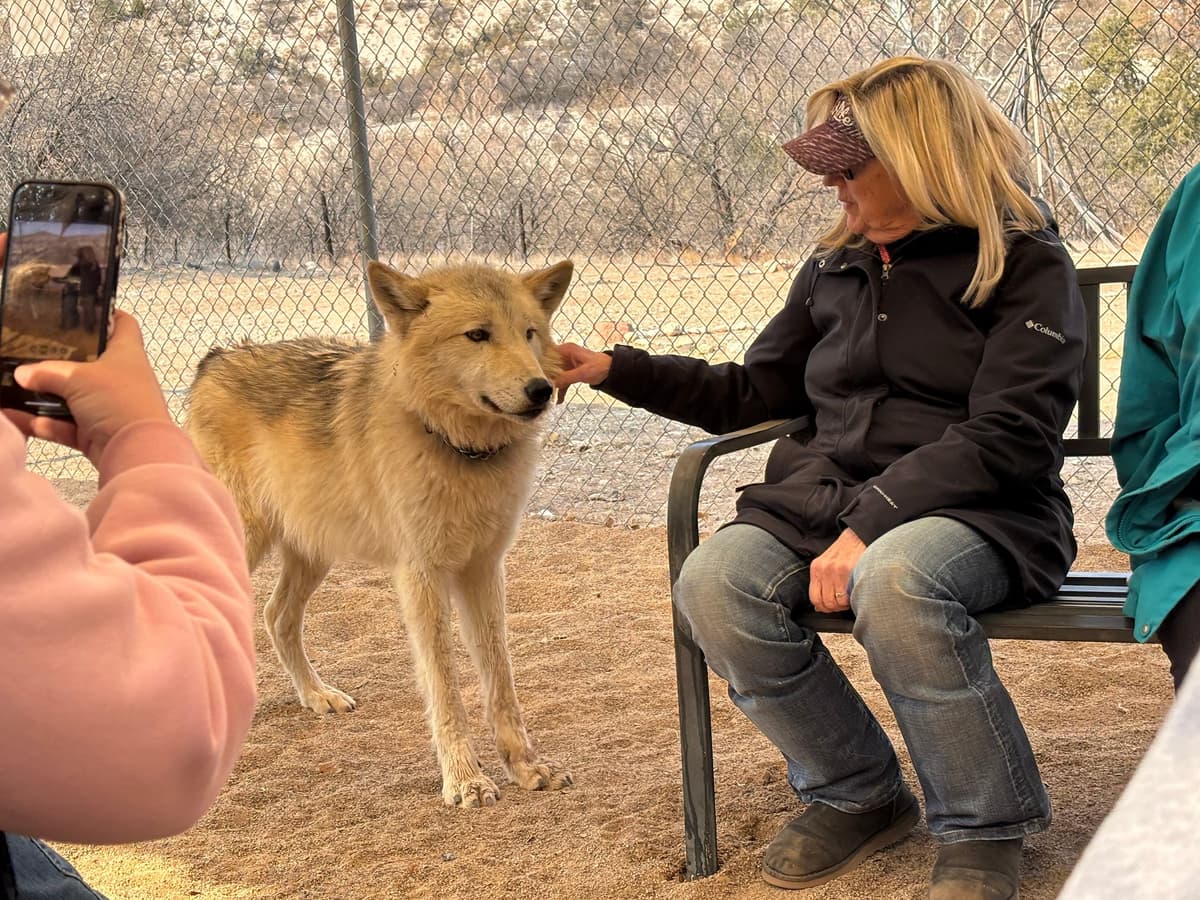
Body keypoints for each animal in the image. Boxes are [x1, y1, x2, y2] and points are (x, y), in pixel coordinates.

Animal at [187, 258, 575, 808]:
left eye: (529, 333)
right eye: (478, 335)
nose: (540, 390)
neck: (456, 448)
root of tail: (214, 358)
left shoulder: (483, 569)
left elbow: (500, 679)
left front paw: (525, 766)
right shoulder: (421, 577)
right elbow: (444, 685)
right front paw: (465, 780)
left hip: (312, 552)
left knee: (275, 615)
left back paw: (317, 696)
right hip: (244, 544)